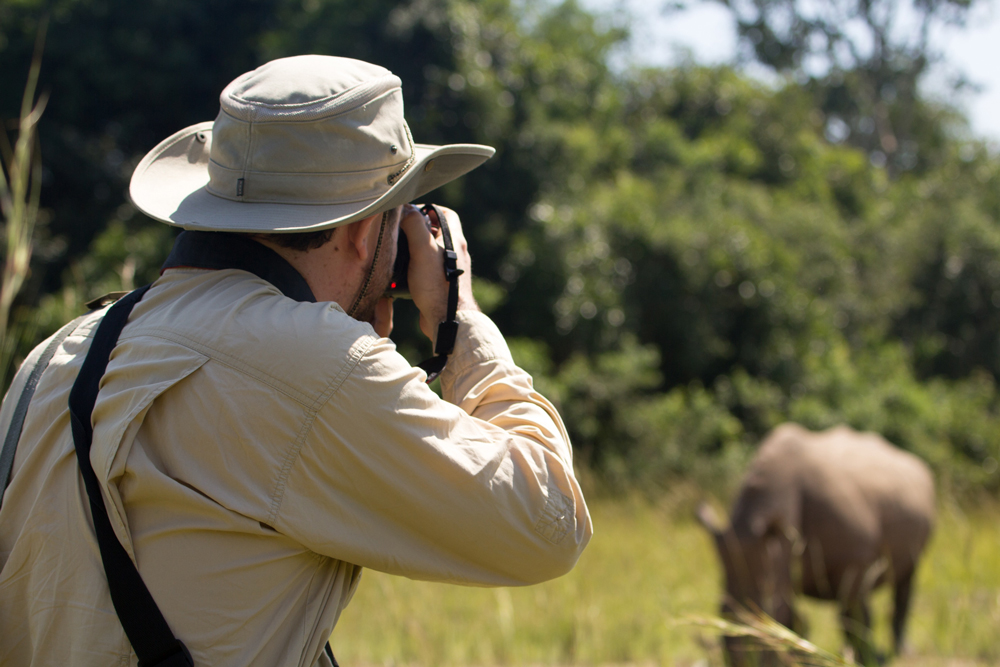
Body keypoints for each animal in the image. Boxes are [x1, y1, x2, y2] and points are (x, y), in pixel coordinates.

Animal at [700, 426, 932, 664]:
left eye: (767, 611)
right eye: (720, 611)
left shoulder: (856, 561)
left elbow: (856, 617)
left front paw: (864, 659)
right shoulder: (784, 565)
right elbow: (797, 622)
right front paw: (803, 656)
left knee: (906, 578)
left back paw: (901, 652)